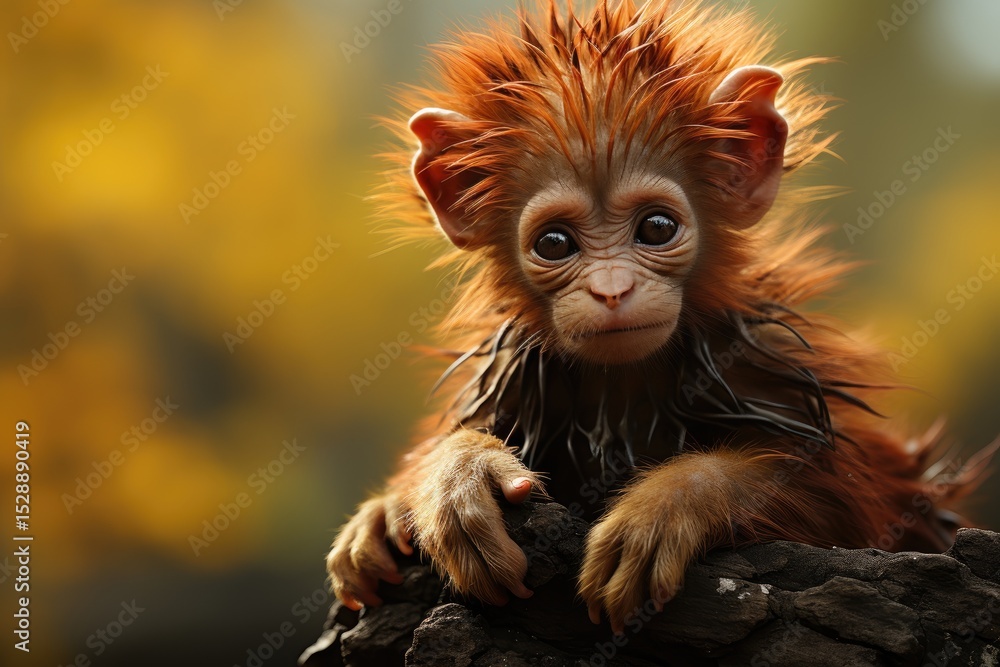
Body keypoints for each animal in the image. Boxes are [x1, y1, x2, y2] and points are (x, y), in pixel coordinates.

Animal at [326, 0, 997, 634]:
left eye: (656, 229)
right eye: (555, 244)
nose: (612, 290)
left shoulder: (759, 363)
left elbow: (859, 504)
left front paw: (673, 502)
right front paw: (447, 483)